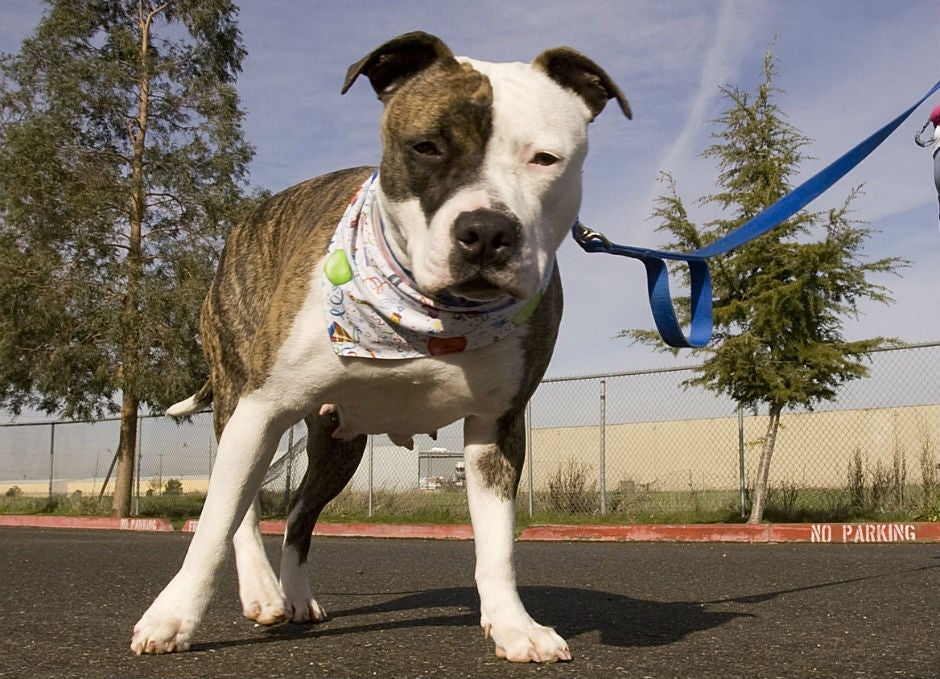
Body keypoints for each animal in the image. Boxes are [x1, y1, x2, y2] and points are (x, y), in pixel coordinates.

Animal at [130, 31, 632, 664]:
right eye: (426, 147)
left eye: (545, 158)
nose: (486, 232)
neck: (429, 314)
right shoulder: (262, 409)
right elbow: (213, 525)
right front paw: (172, 618)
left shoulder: (496, 426)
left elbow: (497, 544)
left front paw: (514, 625)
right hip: (238, 404)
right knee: (242, 511)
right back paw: (262, 592)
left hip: (339, 446)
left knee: (299, 516)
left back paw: (296, 596)